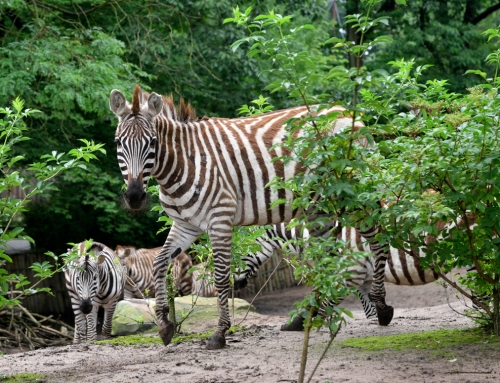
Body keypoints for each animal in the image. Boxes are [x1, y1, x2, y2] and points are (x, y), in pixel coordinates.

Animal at [108, 85, 390, 350]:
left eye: (153, 142)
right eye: (118, 143)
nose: (134, 197)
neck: (184, 163)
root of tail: (346, 113)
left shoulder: (220, 219)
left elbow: (221, 277)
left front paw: (219, 333)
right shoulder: (185, 224)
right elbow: (160, 263)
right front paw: (165, 325)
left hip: (352, 193)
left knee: (378, 238)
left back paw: (382, 306)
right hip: (319, 208)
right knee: (328, 258)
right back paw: (317, 314)